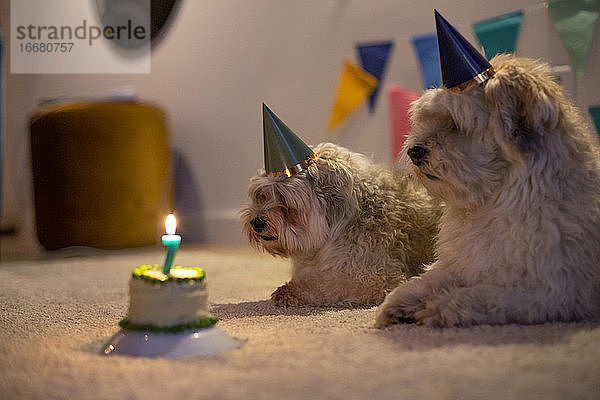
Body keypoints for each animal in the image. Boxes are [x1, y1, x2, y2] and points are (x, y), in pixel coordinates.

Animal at [240, 142, 440, 308]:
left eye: (282, 197)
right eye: (261, 195)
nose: (256, 222)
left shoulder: (371, 279)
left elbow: (322, 285)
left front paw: (288, 292)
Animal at [378, 54, 600, 328]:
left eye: (455, 124)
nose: (414, 151)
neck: (493, 201)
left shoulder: (552, 293)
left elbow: (480, 296)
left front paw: (439, 306)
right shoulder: (461, 263)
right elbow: (428, 278)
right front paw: (398, 301)